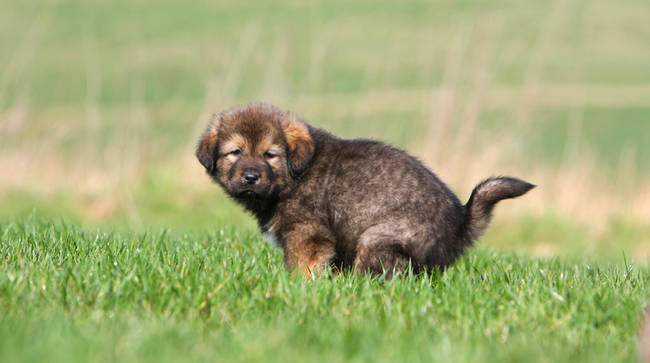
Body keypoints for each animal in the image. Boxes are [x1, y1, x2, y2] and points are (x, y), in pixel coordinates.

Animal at [195, 104, 536, 278]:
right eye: (236, 152)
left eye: (270, 155)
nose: (251, 177)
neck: (293, 176)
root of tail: (460, 223)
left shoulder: (308, 234)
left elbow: (302, 266)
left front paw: (298, 288)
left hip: (376, 238)